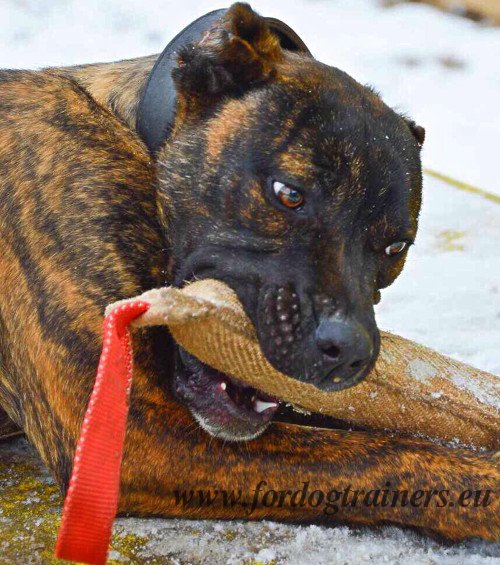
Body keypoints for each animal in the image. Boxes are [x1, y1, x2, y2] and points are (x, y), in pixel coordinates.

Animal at [0, 4, 498, 540]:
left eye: (395, 246)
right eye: (289, 194)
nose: (349, 351)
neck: (138, 137)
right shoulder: (133, 430)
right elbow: (388, 456)